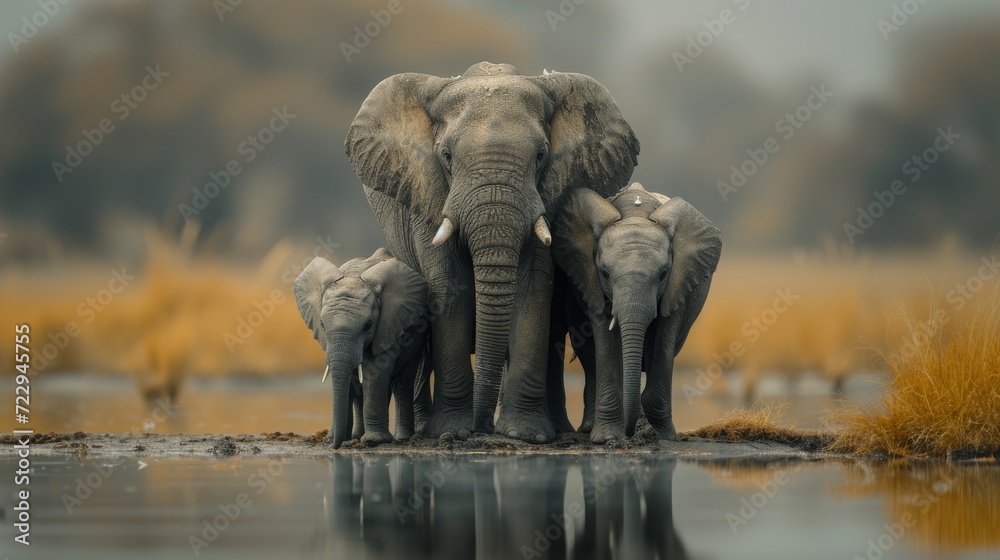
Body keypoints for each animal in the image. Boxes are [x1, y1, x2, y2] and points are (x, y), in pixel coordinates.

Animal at [293, 248, 430, 448]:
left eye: (368, 325)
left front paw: (374, 441)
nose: (333, 446)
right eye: (322, 325)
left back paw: (402, 438)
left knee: (402, 383)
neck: (354, 276)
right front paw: (338, 439)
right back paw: (357, 437)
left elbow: (375, 371)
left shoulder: (387, 326)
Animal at [345, 62, 639, 442]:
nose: (479, 427)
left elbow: (533, 287)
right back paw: (426, 430)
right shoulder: (428, 196)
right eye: (447, 157)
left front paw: (526, 434)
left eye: (541, 156)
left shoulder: (544, 199)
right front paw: (452, 432)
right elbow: (448, 289)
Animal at [550, 182, 722, 442]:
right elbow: (605, 340)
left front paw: (664, 436)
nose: (629, 434)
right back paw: (592, 428)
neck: (635, 212)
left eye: (663, 274)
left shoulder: (677, 283)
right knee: (590, 356)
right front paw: (607, 438)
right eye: (605, 273)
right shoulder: (592, 282)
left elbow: (663, 342)